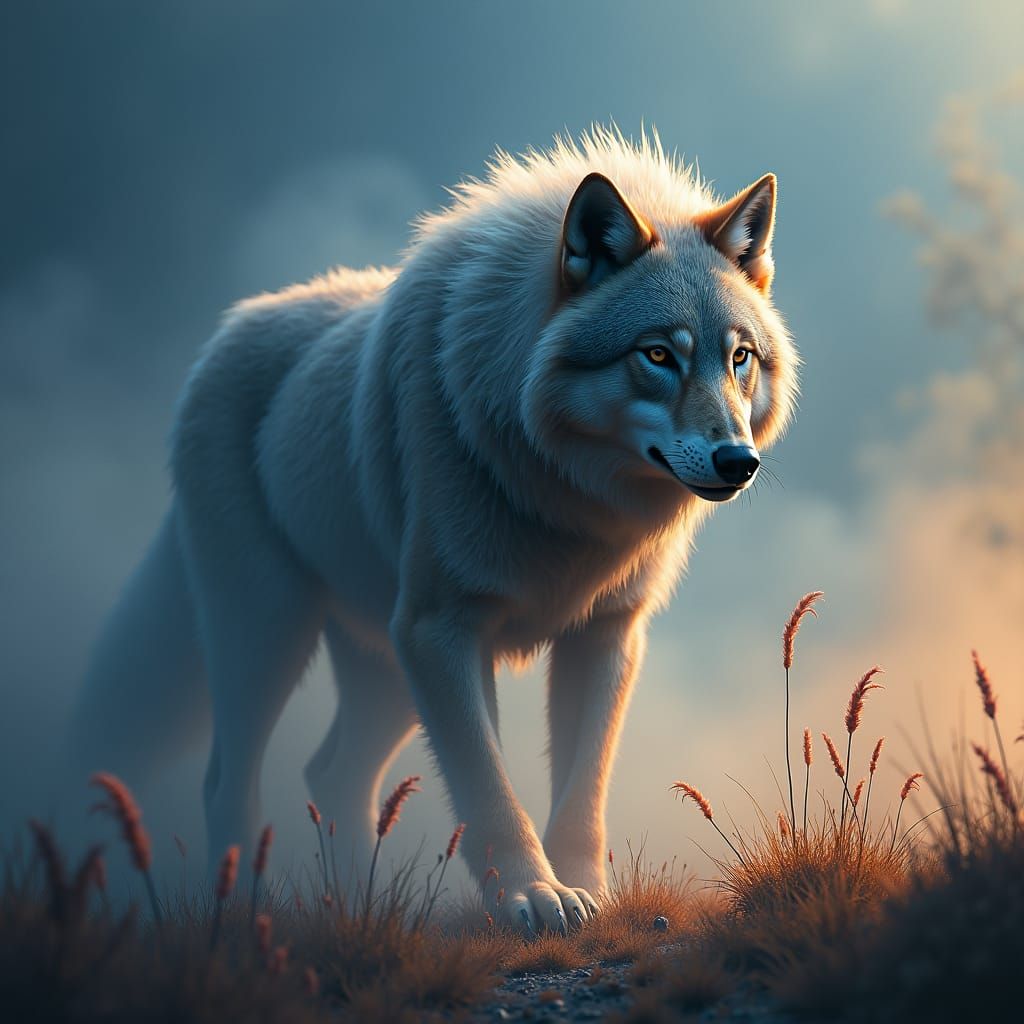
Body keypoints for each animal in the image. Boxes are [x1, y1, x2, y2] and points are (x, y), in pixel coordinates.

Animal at [70, 129, 797, 934]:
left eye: (738, 357)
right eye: (659, 355)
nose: (738, 461)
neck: (568, 501)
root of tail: (224, 334)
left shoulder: (606, 634)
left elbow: (582, 794)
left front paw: (589, 896)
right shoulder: (443, 632)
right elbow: (489, 789)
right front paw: (531, 898)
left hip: (379, 663)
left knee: (332, 774)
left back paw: (357, 916)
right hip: (269, 634)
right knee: (228, 780)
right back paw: (243, 922)